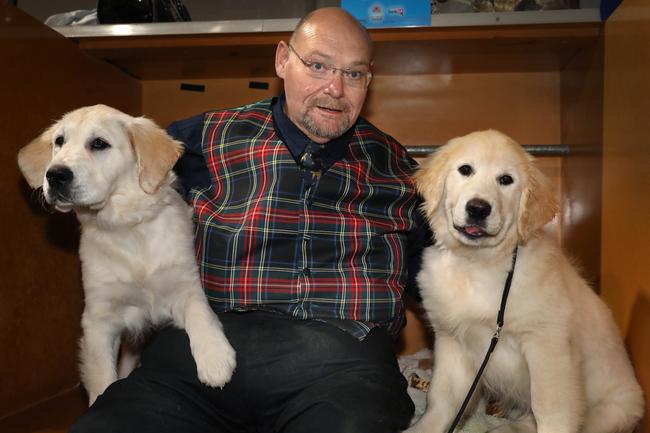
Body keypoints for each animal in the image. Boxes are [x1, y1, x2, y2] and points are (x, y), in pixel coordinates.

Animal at [16, 104, 235, 404]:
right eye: (59, 142)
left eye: (99, 143)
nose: (55, 175)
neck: (127, 227)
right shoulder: (99, 320)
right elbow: (102, 380)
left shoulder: (184, 284)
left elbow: (200, 311)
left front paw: (215, 358)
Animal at [408, 129, 640, 432]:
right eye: (465, 170)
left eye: (506, 180)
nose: (478, 208)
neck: (477, 263)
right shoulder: (451, 339)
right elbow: (442, 398)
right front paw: (423, 427)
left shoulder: (547, 343)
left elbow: (551, 408)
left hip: (609, 411)